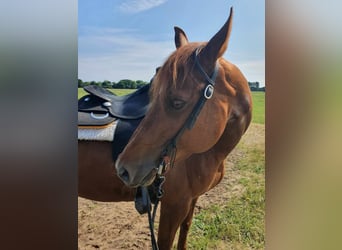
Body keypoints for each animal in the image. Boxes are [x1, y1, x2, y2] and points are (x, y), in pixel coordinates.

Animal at [79, 6, 252, 249]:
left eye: (177, 102)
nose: (123, 169)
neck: (209, 155)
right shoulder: (173, 206)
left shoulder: (191, 201)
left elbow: (185, 231)